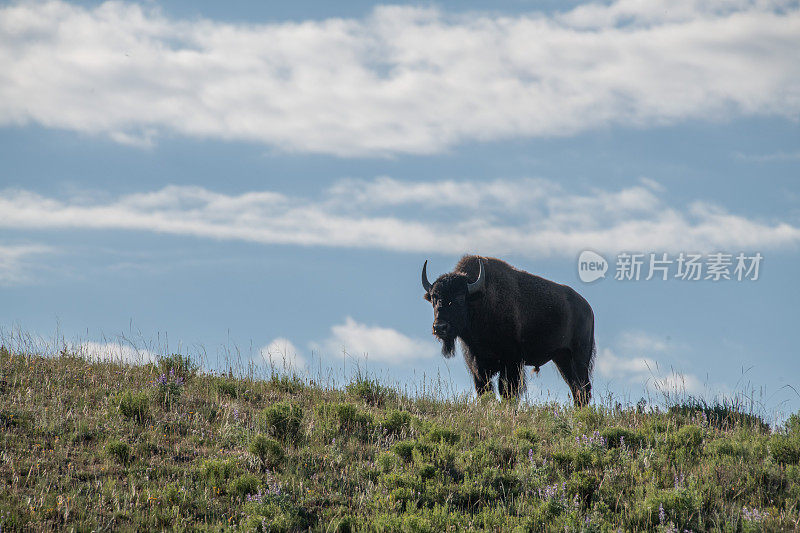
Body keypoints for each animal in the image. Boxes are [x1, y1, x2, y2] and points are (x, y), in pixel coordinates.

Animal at [422, 256, 596, 406]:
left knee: (583, 388)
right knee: (576, 388)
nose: (439, 327)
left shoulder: (512, 362)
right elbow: (485, 391)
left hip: (579, 357)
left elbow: (507, 391)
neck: (480, 300)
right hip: (562, 359)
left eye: (459, 297)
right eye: (434, 297)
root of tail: (587, 307)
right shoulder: (478, 367)